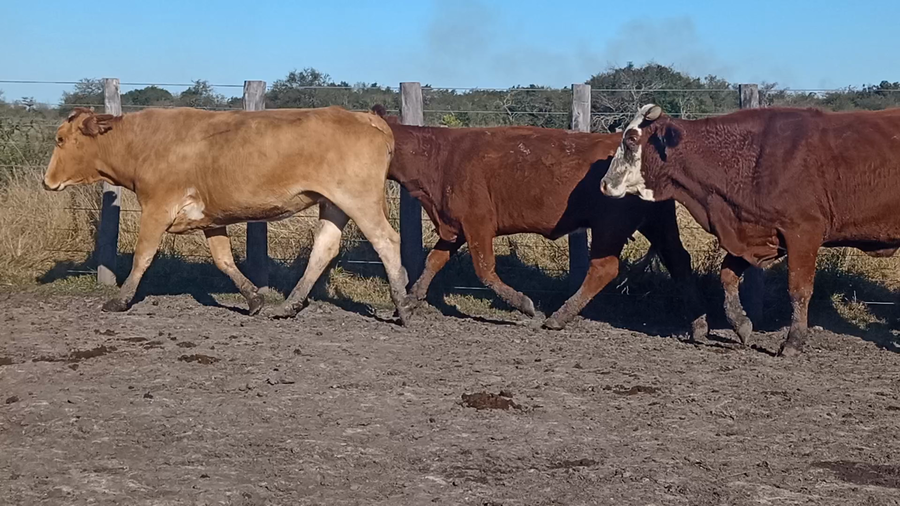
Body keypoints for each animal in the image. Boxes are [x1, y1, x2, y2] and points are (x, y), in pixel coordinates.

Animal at [43, 106, 412, 324]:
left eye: (60, 139)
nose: (47, 181)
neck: (142, 143)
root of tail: (367, 117)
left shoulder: (158, 207)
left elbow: (143, 256)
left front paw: (120, 300)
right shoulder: (210, 218)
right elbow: (224, 260)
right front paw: (253, 298)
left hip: (359, 199)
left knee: (386, 240)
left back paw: (403, 306)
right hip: (333, 203)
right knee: (324, 248)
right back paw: (288, 305)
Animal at [372, 106, 708, 337]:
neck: (442, 155)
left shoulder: (478, 223)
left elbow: (485, 270)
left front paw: (526, 306)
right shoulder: (454, 227)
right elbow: (433, 262)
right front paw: (408, 302)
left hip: (610, 228)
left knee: (604, 269)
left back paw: (558, 316)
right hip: (657, 222)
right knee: (679, 260)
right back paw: (699, 324)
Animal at [600, 104, 900, 356]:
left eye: (632, 139)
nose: (604, 183)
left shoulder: (803, 233)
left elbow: (798, 290)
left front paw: (792, 343)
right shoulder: (760, 236)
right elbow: (727, 275)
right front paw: (741, 324)